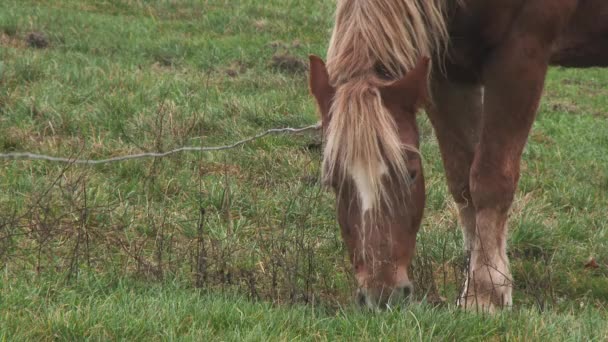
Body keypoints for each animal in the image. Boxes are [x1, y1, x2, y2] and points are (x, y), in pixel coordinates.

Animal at [312, 0, 604, 312]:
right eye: (332, 182)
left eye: (411, 173)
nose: (381, 296)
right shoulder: (446, 72)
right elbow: (463, 181)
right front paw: (472, 283)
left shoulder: (521, 56)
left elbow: (490, 179)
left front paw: (485, 294)